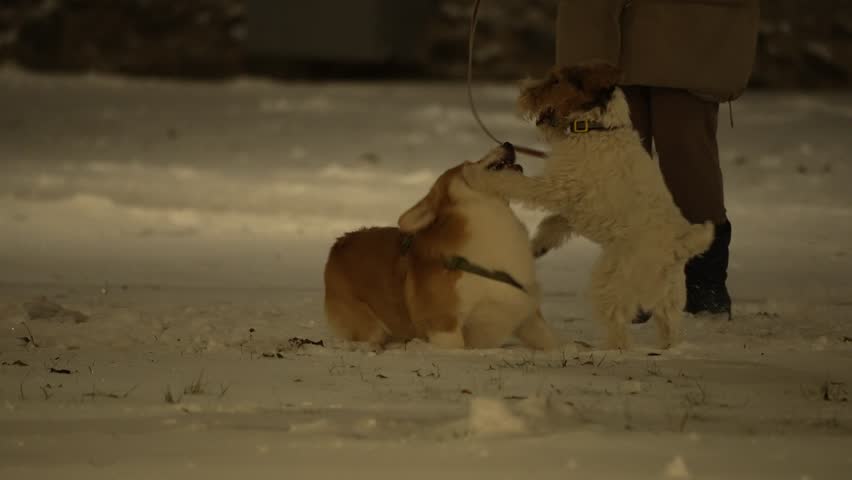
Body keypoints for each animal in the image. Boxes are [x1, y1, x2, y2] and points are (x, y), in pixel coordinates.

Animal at [466, 62, 712, 348]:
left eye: (556, 80)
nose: (522, 90)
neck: (597, 128)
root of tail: (677, 248)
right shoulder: (571, 203)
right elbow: (553, 222)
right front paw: (538, 246)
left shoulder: (557, 186)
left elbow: (516, 183)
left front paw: (479, 177)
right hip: (667, 298)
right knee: (670, 328)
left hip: (611, 281)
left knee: (618, 327)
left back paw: (609, 349)